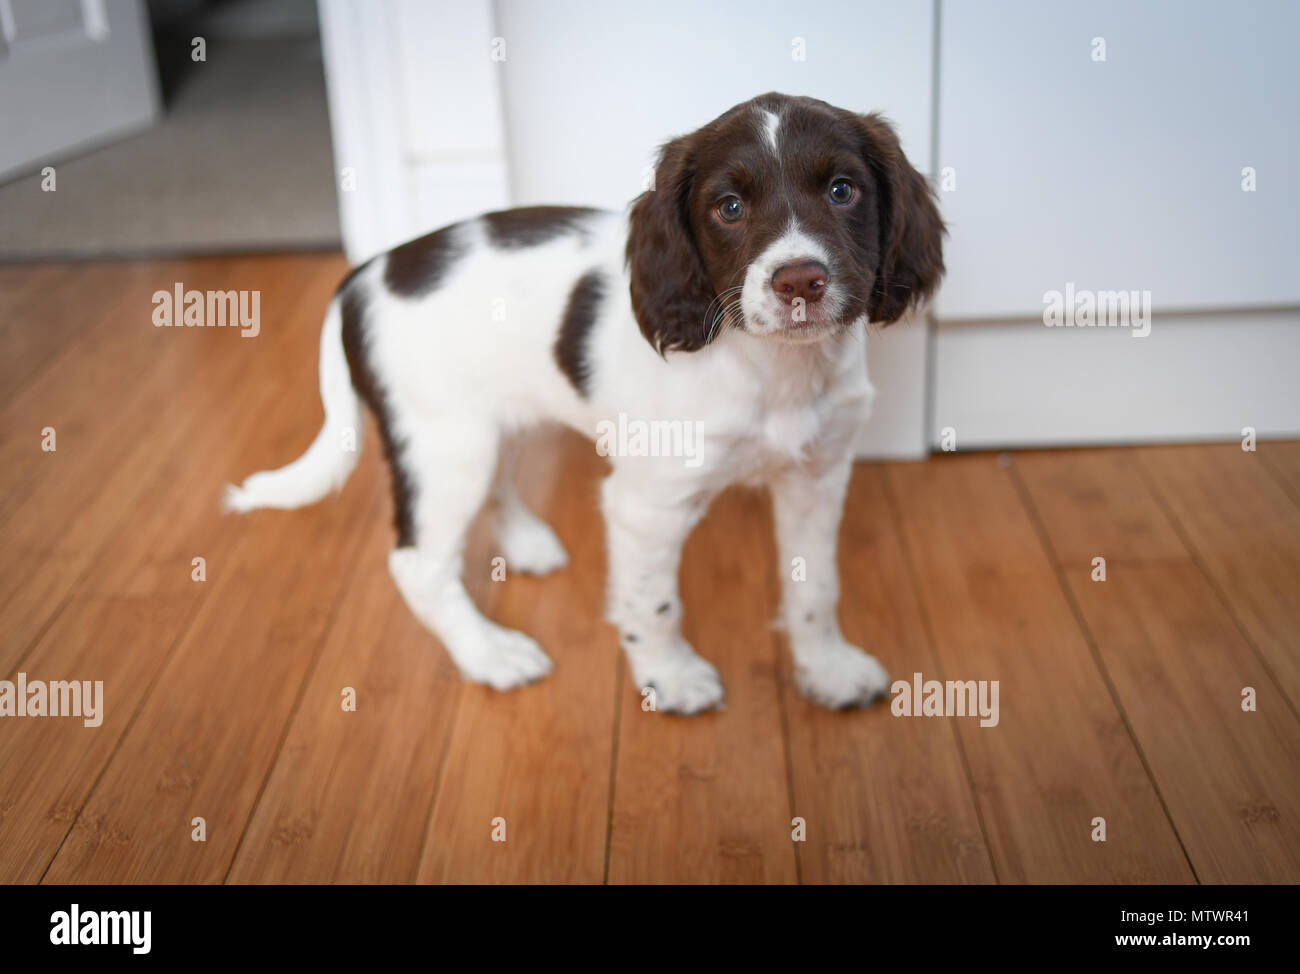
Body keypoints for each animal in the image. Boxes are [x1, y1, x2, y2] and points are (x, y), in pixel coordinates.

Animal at [228, 91, 946, 712]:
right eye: (729, 207)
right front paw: (669, 677)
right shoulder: (646, 506)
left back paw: (526, 542)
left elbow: (816, 587)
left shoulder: (817, 478)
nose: (800, 281)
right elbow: (653, 603)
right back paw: (490, 654)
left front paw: (828, 669)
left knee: (496, 483)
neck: (773, 370)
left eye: (843, 190)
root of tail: (363, 274)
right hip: (442, 445)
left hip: (484, 426)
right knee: (418, 564)